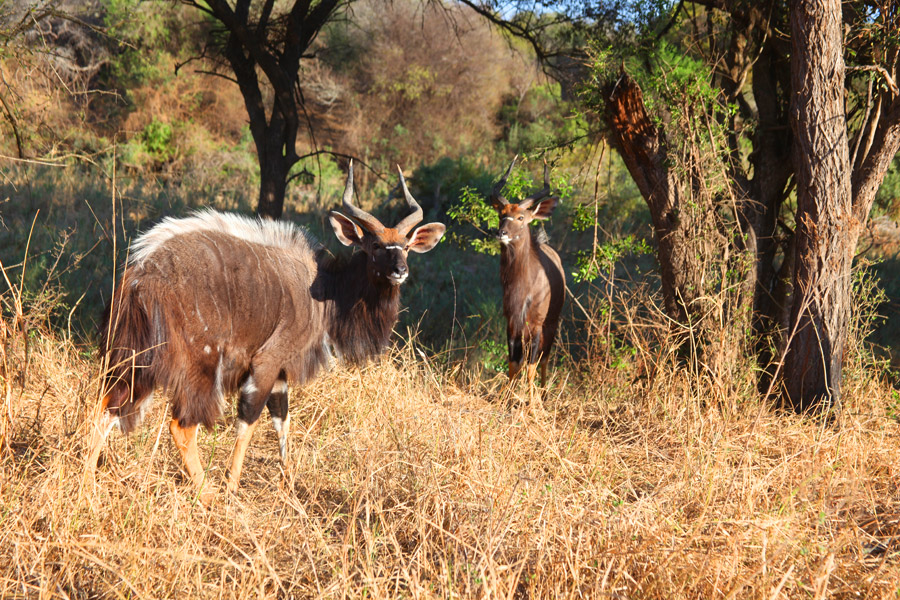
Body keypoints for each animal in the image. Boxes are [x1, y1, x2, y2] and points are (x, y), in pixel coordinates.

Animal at [86, 162, 444, 500]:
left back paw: (85, 480)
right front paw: (232, 486)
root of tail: (139, 275)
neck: (325, 291)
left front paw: (289, 481)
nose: (400, 271)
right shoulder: (267, 361)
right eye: (375, 246)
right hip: (200, 366)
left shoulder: (281, 373)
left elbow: (281, 418)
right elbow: (250, 419)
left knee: (108, 406)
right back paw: (208, 495)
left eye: (406, 246)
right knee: (181, 425)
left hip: (135, 360)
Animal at [492, 157, 564, 396]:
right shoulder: (512, 322)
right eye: (501, 214)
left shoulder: (536, 324)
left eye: (521, 217)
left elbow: (532, 364)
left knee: (544, 358)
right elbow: (514, 363)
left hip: (552, 323)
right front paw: (506, 399)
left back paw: (544, 395)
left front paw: (533, 403)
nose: (501, 233)